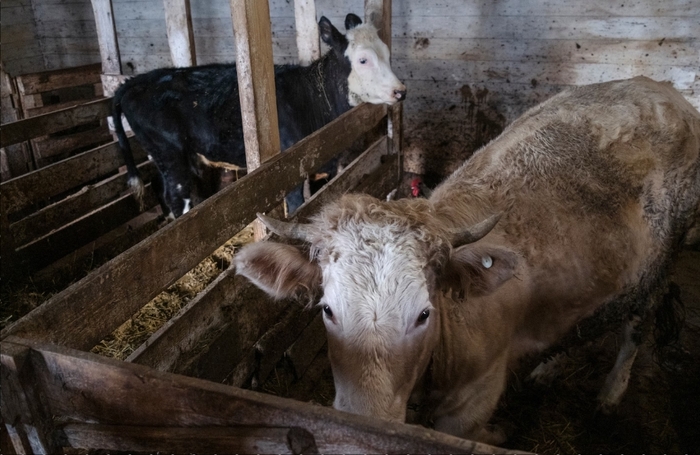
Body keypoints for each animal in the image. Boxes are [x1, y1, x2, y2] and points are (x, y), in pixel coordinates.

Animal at [113, 13, 406, 218]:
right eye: (363, 60)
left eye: (387, 53)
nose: (400, 91)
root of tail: (136, 81)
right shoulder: (288, 172)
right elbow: (297, 209)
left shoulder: (327, 165)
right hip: (169, 153)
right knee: (177, 196)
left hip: (165, 155)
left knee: (159, 186)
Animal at [234, 76, 700, 445]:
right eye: (328, 310)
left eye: (423, 314)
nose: (365, 423)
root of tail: (662, 89)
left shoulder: (475, 399)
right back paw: (550, 368)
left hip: (662, 260)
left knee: (638, 324)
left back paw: (610, 393)